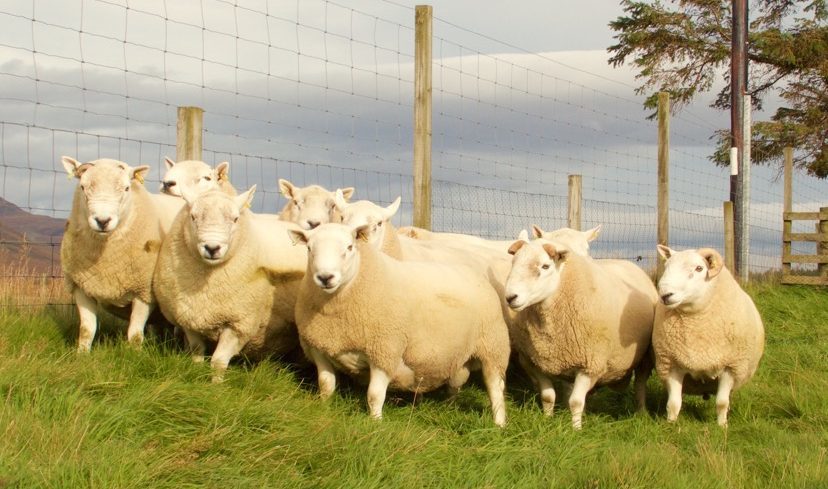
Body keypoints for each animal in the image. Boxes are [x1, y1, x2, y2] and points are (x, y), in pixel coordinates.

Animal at [59, 156, 184, 350]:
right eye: (83, 187)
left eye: (126, 188)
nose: (102, 221)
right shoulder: (81, 287)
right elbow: (86, 330)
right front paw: (81, 354)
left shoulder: (144, 292)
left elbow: (135, 334)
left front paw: (134, 353)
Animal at [153, 187, 308, 382]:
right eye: (193, 217)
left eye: (235, 219)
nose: (212, 248)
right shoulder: (189, 319)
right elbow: (197, 352)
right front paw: (197, 373)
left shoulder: (239, 324)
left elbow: (218, 361)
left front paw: (215, 384)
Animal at [290, 223, 512, 426]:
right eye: (309, 247)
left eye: (350, 247)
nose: (325, 277)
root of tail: (476, 274)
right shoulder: (318, 347)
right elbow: (326, 385)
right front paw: (323, 410)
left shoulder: (384, 351)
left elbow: (374, 395)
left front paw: (375, 423)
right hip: (458, 357)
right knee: (454, 385)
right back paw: (448, 408)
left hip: (493, 347)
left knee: (495, 387)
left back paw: (499, 424)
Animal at [502, 233, 656, 428]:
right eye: (514, 262)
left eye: (545, 266)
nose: (510, 297)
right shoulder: (533, 362)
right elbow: (548, 396)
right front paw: (547, 419)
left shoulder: (590, 363)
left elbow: (575, 401)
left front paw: (576, 428)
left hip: (644, 356)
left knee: (640, 385)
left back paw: (641, 413)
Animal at [652, 246, 764, 426]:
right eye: (667, 265)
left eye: (699, 268)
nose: (665, 294)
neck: (696, 320)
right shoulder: (671, 364)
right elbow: (673, 403)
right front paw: (671, 424)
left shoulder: (730, 367)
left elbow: (721, 402)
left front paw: (722, 426)